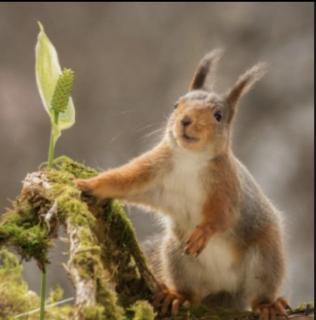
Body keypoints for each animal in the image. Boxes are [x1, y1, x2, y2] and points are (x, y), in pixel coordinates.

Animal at [75, 50, 288, 320]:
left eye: (218, 116)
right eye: (176, 105)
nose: (185, 120)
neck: (190, 159)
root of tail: (223, 291)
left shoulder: (227, 187)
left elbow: (223, 216)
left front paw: (202, 233)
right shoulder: (153, 170)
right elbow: (123, 181)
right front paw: (88, 183)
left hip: (265, 257)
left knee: (260, 291)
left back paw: (267, 305)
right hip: (176, 256)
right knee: (191, 293)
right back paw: (177, 296)